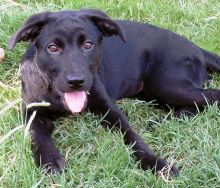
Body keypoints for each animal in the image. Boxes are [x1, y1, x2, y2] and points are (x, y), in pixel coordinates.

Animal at [7, 8, 220, 176]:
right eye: (52, 48)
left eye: (88, 45)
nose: (76, 81)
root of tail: (197, 48)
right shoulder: (31, 110)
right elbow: (36, 134)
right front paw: (49, 159)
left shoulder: (107, 107)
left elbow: (131, 135)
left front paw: (155, 163)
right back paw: (165, 119)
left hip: (165, 84)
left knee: (210, 97)